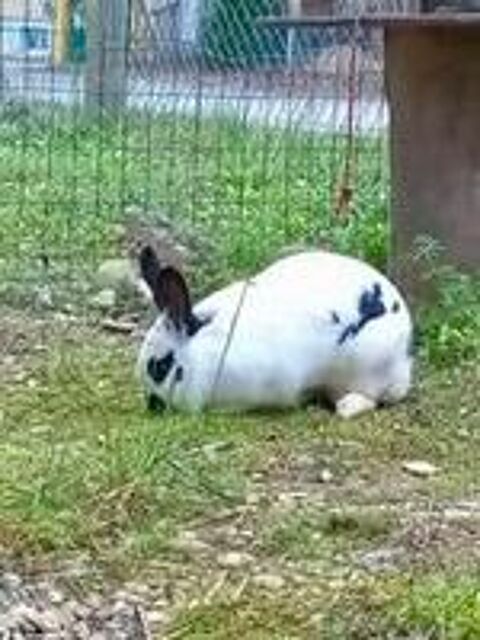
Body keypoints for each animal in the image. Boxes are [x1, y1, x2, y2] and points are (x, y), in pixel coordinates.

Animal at [137, 245, 414, 418]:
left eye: (160, 367)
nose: (153, 405)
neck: (208, 355)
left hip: (369, 369)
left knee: (375, 397)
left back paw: (347, 406)